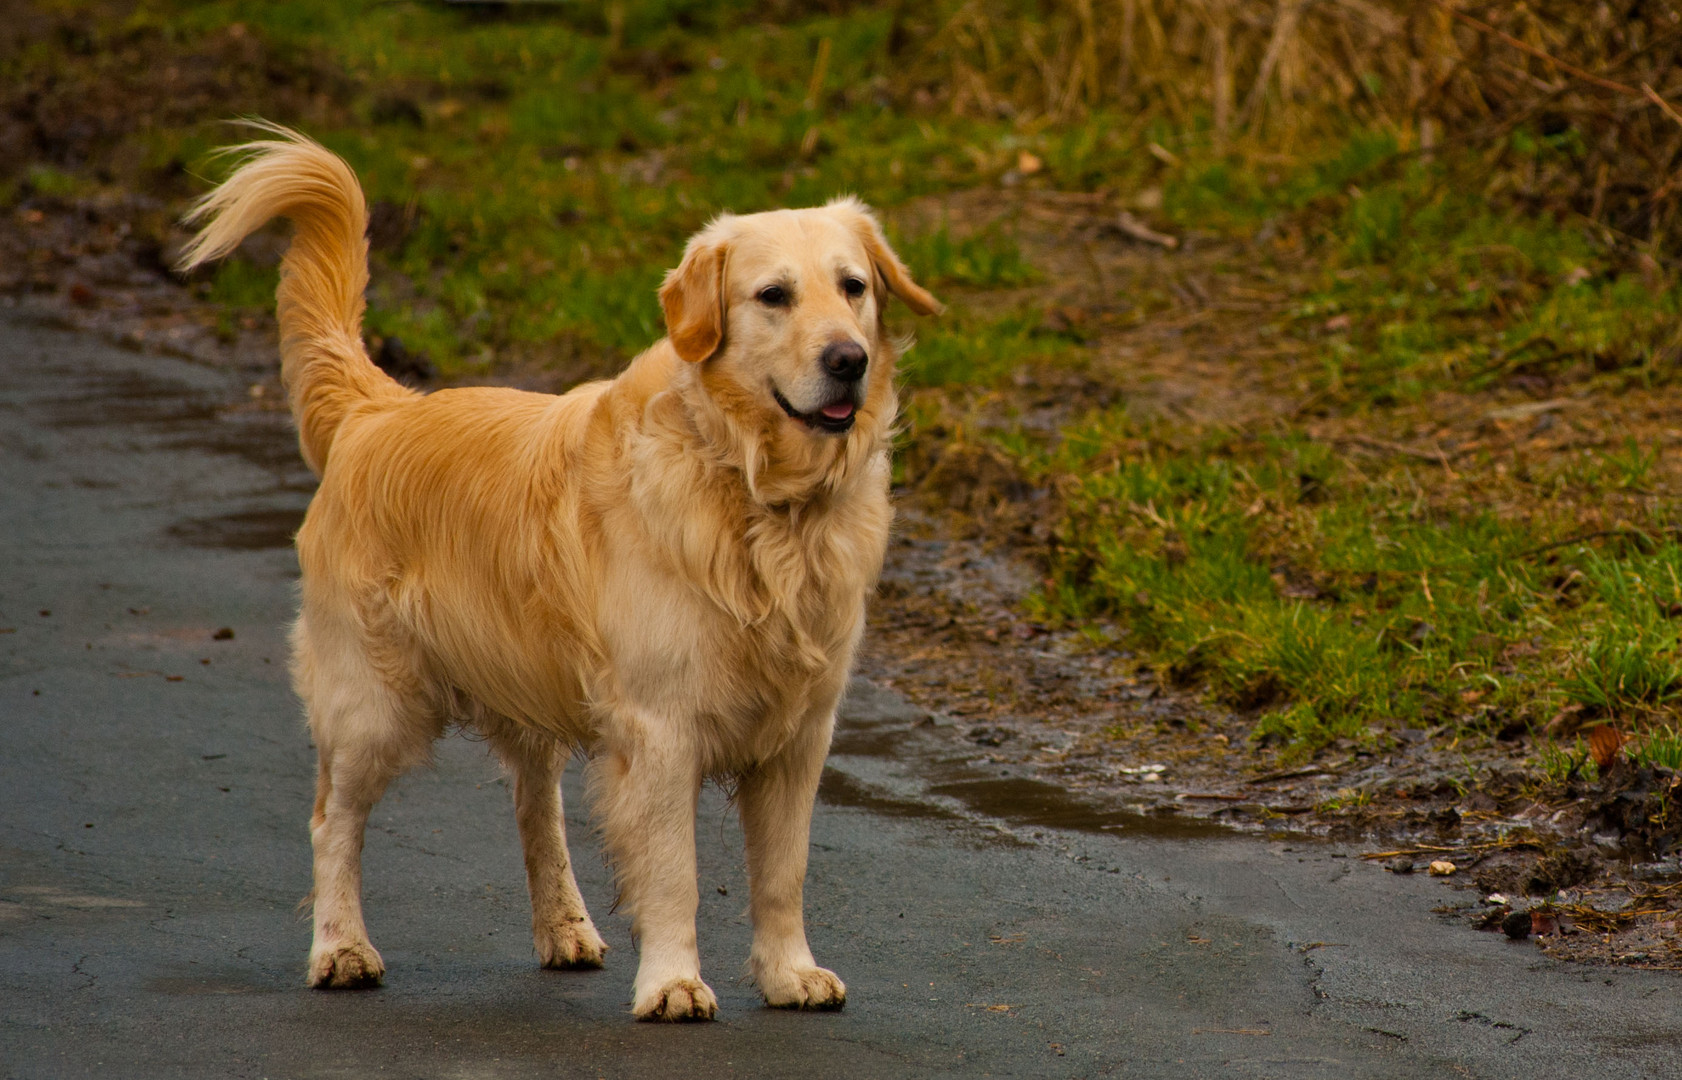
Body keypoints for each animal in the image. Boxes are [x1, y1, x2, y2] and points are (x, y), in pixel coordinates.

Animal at [177, 121, 941, 1016]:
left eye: (853, 286)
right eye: (773, 296)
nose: (849, 359)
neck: (755, 488)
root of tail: (380, 409)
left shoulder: (800, 731)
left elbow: (783, 871)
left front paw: (789, 972)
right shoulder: (662, 725)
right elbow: (674, 873)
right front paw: (675, 982)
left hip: (527, 681)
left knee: (532, 805)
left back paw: (565, 929)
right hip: (371, 700)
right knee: (334, 820)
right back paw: (341, 949)